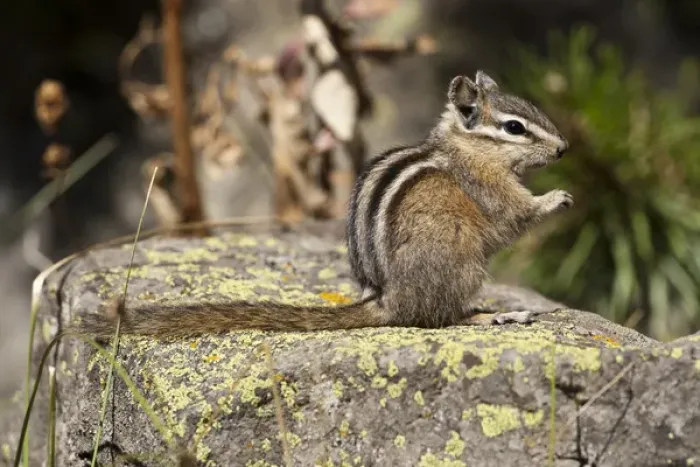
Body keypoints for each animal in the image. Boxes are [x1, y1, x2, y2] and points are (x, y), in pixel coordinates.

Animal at [78, 70, 572, 339]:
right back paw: (494, 315)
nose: (564, 149)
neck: (465, 148)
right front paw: (556, 197)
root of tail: (386, 301)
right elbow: (516, 216)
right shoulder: (489, 188)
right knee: (440, 319)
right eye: (514, 127)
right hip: (461, 260)